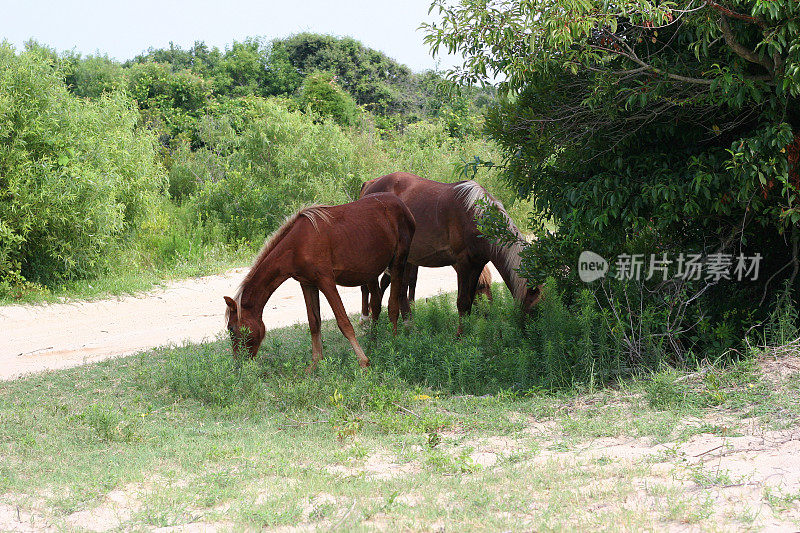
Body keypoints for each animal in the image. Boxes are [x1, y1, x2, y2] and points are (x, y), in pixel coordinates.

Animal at [223, 192, 416, 370]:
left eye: (231, 329)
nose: (239, 364)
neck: (297, 245)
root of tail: (403, 206)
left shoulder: (326, 282)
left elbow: (344, 322)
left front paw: (363, 361)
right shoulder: (308, 284)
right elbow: (314, 322)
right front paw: (316, 363)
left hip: (398, 264)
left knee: (392, 306)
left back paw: (393, 342)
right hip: (371, 273)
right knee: (375, 305)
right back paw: (373, 342)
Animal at [360, 171, 540, 328]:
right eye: (535, 309)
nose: (487, 312)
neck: (475, 217)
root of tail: (371, 185)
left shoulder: (477, 264)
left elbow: (468, 303)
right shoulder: (463, 264)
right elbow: (462, 302)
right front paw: (460, 337)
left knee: (400, 289)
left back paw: (407, 323)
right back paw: (367, 318)